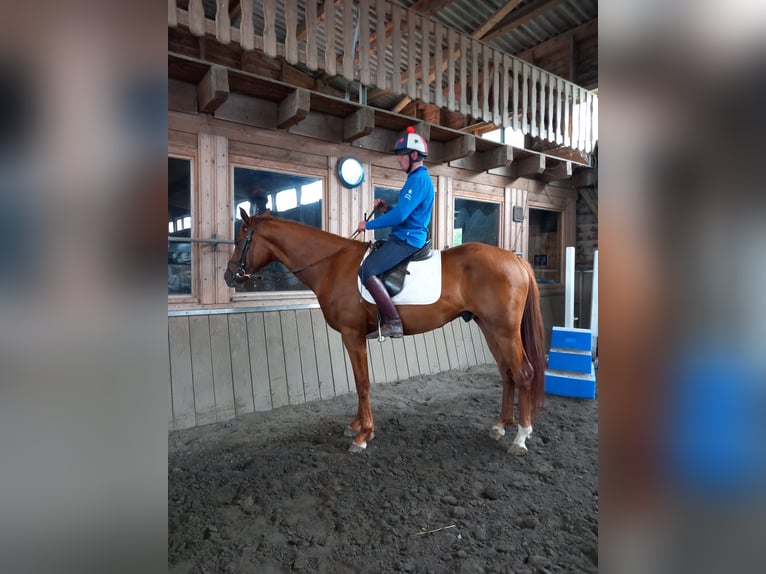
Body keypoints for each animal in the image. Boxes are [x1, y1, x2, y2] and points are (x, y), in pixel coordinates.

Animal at [222, 209, 544, 456]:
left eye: (241, 239)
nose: (228, 275)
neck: (332, 264)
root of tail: (515, 260)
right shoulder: (354, 337)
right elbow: (359, 382)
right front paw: (357, 425)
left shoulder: (351, 335)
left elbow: (362, 383)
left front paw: (363, 435)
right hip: (489, 328)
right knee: (507, 373)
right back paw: (500, 426)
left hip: (504, 331)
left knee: (523, 373)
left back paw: (520, 438)